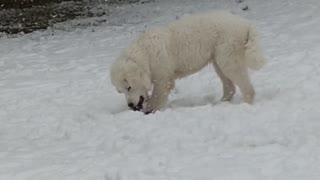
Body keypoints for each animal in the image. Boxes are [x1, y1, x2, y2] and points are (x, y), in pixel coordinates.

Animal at [110, 11, 264, 114]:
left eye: (129, 87)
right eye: (120, 91)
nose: (130, 105)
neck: (145, 54)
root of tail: (246, 24)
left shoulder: (162, 79)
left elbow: (156, 98)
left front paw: (150, 111)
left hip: (229, 60)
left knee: (247, 88)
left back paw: (245, 105)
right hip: (219, 61)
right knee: (230, 87)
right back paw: (221, 104)